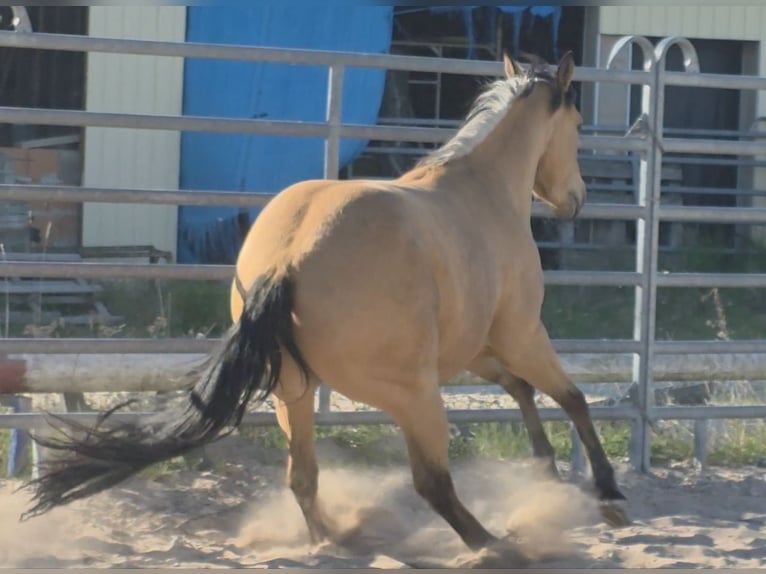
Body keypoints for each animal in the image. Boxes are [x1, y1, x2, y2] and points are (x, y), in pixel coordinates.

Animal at [20, 51, 629, 555]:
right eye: (577, 125)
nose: (576, 200)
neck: (481, 189)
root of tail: (288, 259)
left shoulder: (473, 347)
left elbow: (522, 388)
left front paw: (547, 471)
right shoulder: (520, 333)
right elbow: (571, 395)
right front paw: (607, 493)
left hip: (295, 391)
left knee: (303, 478)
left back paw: (334, 541)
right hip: (411, 394)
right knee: (431, 482)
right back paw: (491, 545)